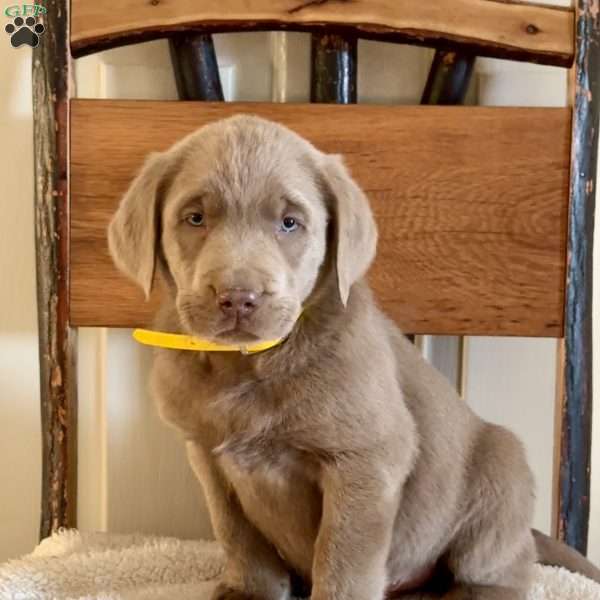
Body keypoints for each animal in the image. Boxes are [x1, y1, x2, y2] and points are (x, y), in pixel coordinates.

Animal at [109, 115, 600, 596]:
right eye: (194, 218)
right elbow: (237, 532)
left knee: (501, 569)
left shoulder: (367, 459)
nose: (238, 297)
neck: (248, 364)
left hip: (501, 475)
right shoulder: (208, 455)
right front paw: (247, 590)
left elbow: (344, 559)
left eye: (290, 223)